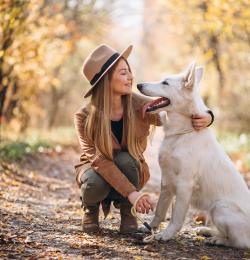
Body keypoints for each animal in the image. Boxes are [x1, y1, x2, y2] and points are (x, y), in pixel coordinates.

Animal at [137, 62, 250, 249]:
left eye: (165, 83)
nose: (138, 85)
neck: (182, 133)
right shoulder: (166, 182)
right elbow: (160, 211)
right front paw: (151, 228)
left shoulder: (184, 185)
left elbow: (176, 217)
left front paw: (166, 235)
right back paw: (207, 231)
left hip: (220, 208)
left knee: (240, 242)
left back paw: (218, 240)